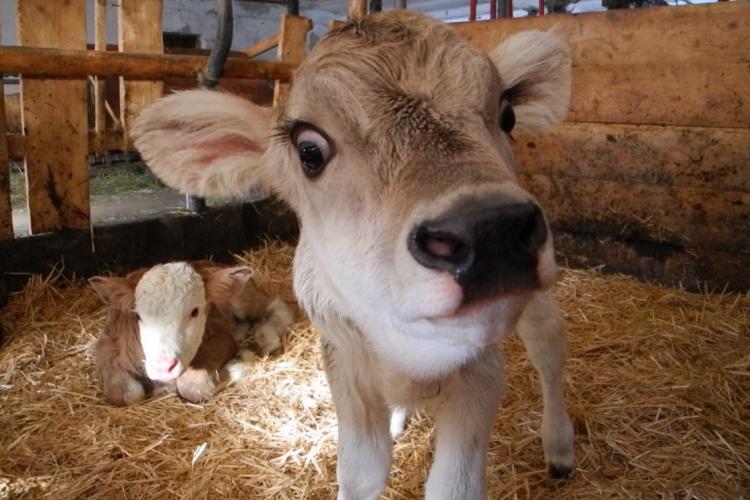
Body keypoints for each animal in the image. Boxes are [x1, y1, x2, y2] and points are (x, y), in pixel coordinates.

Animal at [90, 262, 294, 406]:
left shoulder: (220, 338)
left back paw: (267, 338)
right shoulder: (107, 349)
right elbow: (126, 394)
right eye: (138, 316)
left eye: (195, 311)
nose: (163, 367)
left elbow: (191, 385)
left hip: (243, 299)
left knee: (276, 305)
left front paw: (241, 361)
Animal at [131, 9, 576, 498]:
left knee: (548, 345)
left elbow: (454, 485)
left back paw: (559, 447)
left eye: (507, 114)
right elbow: (361, 471)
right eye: (309, 150)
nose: (491, 230)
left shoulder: (480, 373)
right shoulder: (344, 367)